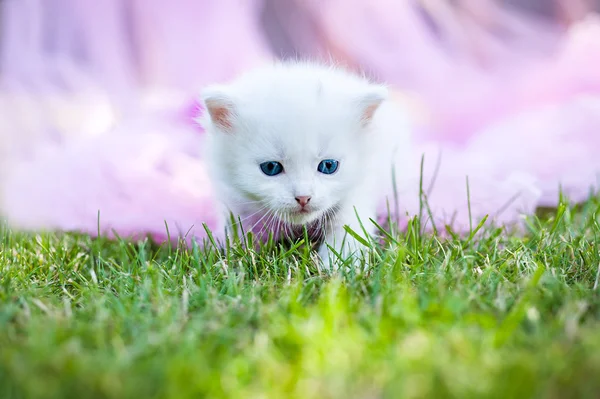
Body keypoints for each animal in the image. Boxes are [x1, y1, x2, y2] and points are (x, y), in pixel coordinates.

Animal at [199, 61, 406, 270]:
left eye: (328, 166)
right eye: (271, 168)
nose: (303, 198)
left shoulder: (359, 189)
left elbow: (348, 231)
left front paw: (338, 267)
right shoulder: (234, 201)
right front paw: (237, 264)